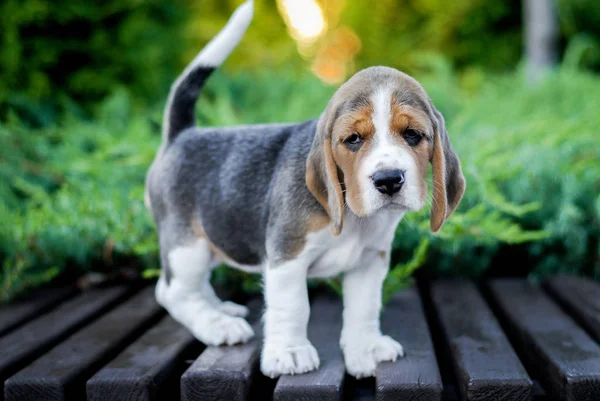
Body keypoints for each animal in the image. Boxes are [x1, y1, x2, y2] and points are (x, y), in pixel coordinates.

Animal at [144, 0, 464, 376]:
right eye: (353, 139)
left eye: (413, 134)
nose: (388, 179)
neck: (353, 216)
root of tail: (181, 135)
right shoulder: (288, 255)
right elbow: (294, 306)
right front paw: (290, 352)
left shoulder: (370, 260)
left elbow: (364, 307)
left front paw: (366, 347)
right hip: (186, 245)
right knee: (172, 292)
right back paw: (217, 324)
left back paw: (221, 309)